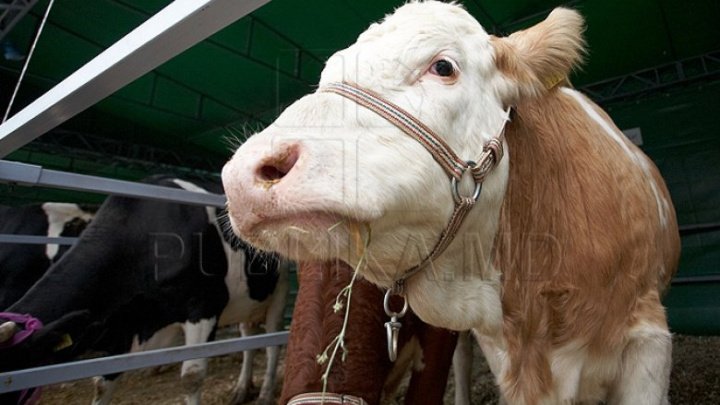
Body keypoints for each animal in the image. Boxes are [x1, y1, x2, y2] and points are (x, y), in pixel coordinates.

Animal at [0, 175, 286, 404]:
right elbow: (102, 384)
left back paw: (265, 393)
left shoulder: (205, 305)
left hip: (277, 293)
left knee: (271, 343)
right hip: (249, 299)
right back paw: (242, 388)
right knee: (248, 340)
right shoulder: (121, 323)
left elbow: (191, 377)